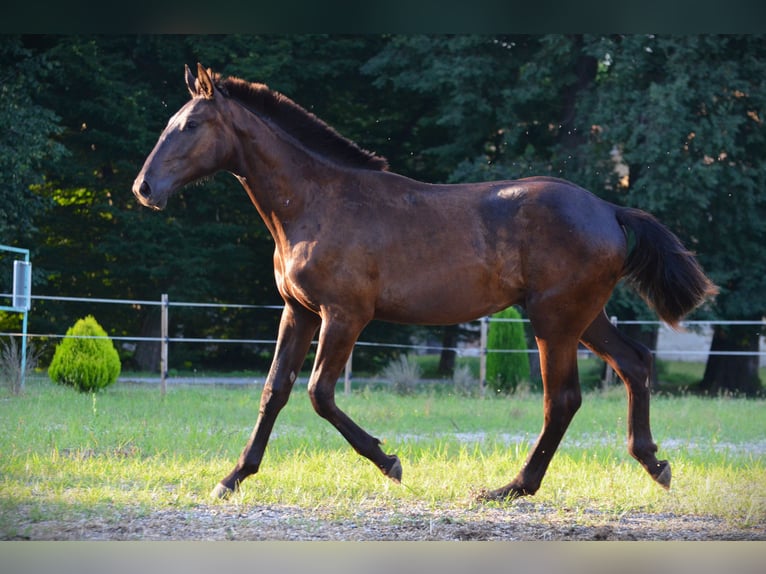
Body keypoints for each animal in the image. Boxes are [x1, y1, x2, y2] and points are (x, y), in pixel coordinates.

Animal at [134, 64, 720, 504]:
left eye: (190, 125)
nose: (144, 188)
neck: (316, 203)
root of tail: (609, 209)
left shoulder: (345, 315)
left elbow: (320, 393)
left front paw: (389, 461)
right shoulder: (297, 312)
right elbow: (274, 390)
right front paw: (232, 478)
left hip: (554, 320)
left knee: (564, 399)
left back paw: (510, 488)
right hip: (584, 316)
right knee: (634, 363)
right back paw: (653, 463)